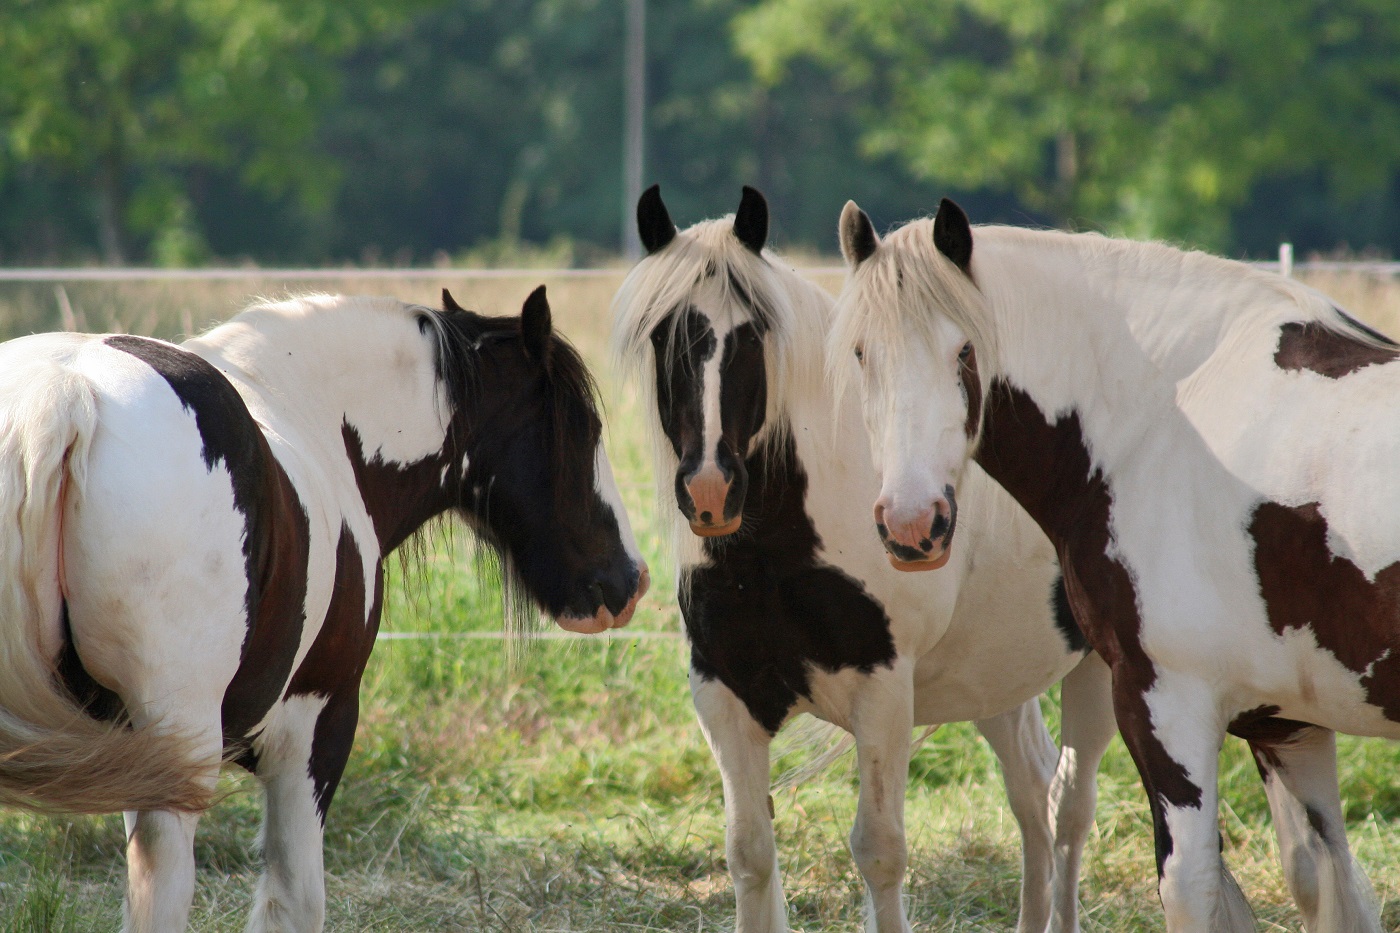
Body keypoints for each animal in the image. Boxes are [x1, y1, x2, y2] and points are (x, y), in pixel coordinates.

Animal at [0, 285, 649, 930]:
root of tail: (66, 397)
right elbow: (295, 898)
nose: (631, 580)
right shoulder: (316, 726)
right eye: (584, 426)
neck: (311, 417)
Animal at [613, 183, 1114, 930]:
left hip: (1094, 673)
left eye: (752, 336)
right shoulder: (724, 694)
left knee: (1069, 811)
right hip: (997, 679)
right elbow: (749, 853)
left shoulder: (881, 692)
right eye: (664, 336)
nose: (709, 489)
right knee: (1032, 793)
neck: (781, 547)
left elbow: (879, 852)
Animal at [828, 197, 1388, 930]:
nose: (911, 524)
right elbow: (1330, 884)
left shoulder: (1168, 704)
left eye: (964, 351)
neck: (1169, 413)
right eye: (862, 353)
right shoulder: (1289, 723)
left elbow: (1190, 886)